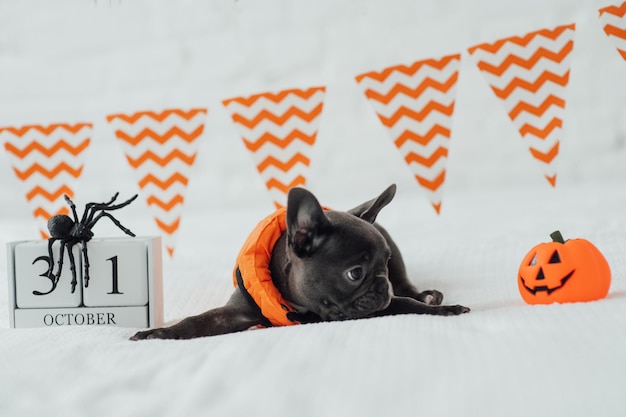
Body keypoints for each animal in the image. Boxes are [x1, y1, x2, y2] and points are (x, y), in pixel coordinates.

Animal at [129, 182, 466, 338]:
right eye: (355, 273)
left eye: (383, 264)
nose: (384, 286)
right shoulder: (234, 313)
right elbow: (196, 321)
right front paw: (158, 333)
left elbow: (407, 303)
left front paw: (443, 309)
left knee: (408, 287)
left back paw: (427, 294)